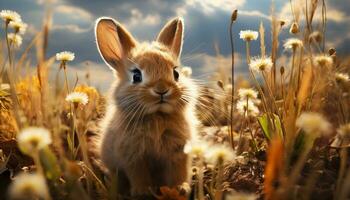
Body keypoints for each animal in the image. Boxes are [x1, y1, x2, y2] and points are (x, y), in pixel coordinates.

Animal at [95, 16, 200, 197]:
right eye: (136, 76)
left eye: (176, 74)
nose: (161, 90)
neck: (157, 115)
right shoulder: (134, 156)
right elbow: (139, 174)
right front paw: (142, 191)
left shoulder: (178, 152)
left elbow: (177, 173)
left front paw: (181, 188)